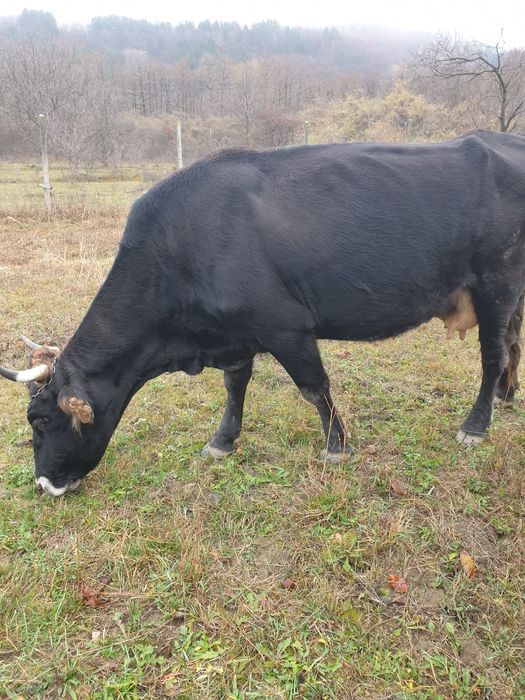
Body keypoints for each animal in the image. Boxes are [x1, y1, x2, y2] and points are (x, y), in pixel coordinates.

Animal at [1, 130, 524, 497]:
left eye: (39, 421)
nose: (43, 484)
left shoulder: (286, 326)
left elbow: (314, 387)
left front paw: (337, 446)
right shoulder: (234, 334)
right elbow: (235, 386)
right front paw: (222, 440)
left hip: (496, 281)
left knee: (492, 353)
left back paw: (476, 425)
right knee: (512, 343)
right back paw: (506, 397)